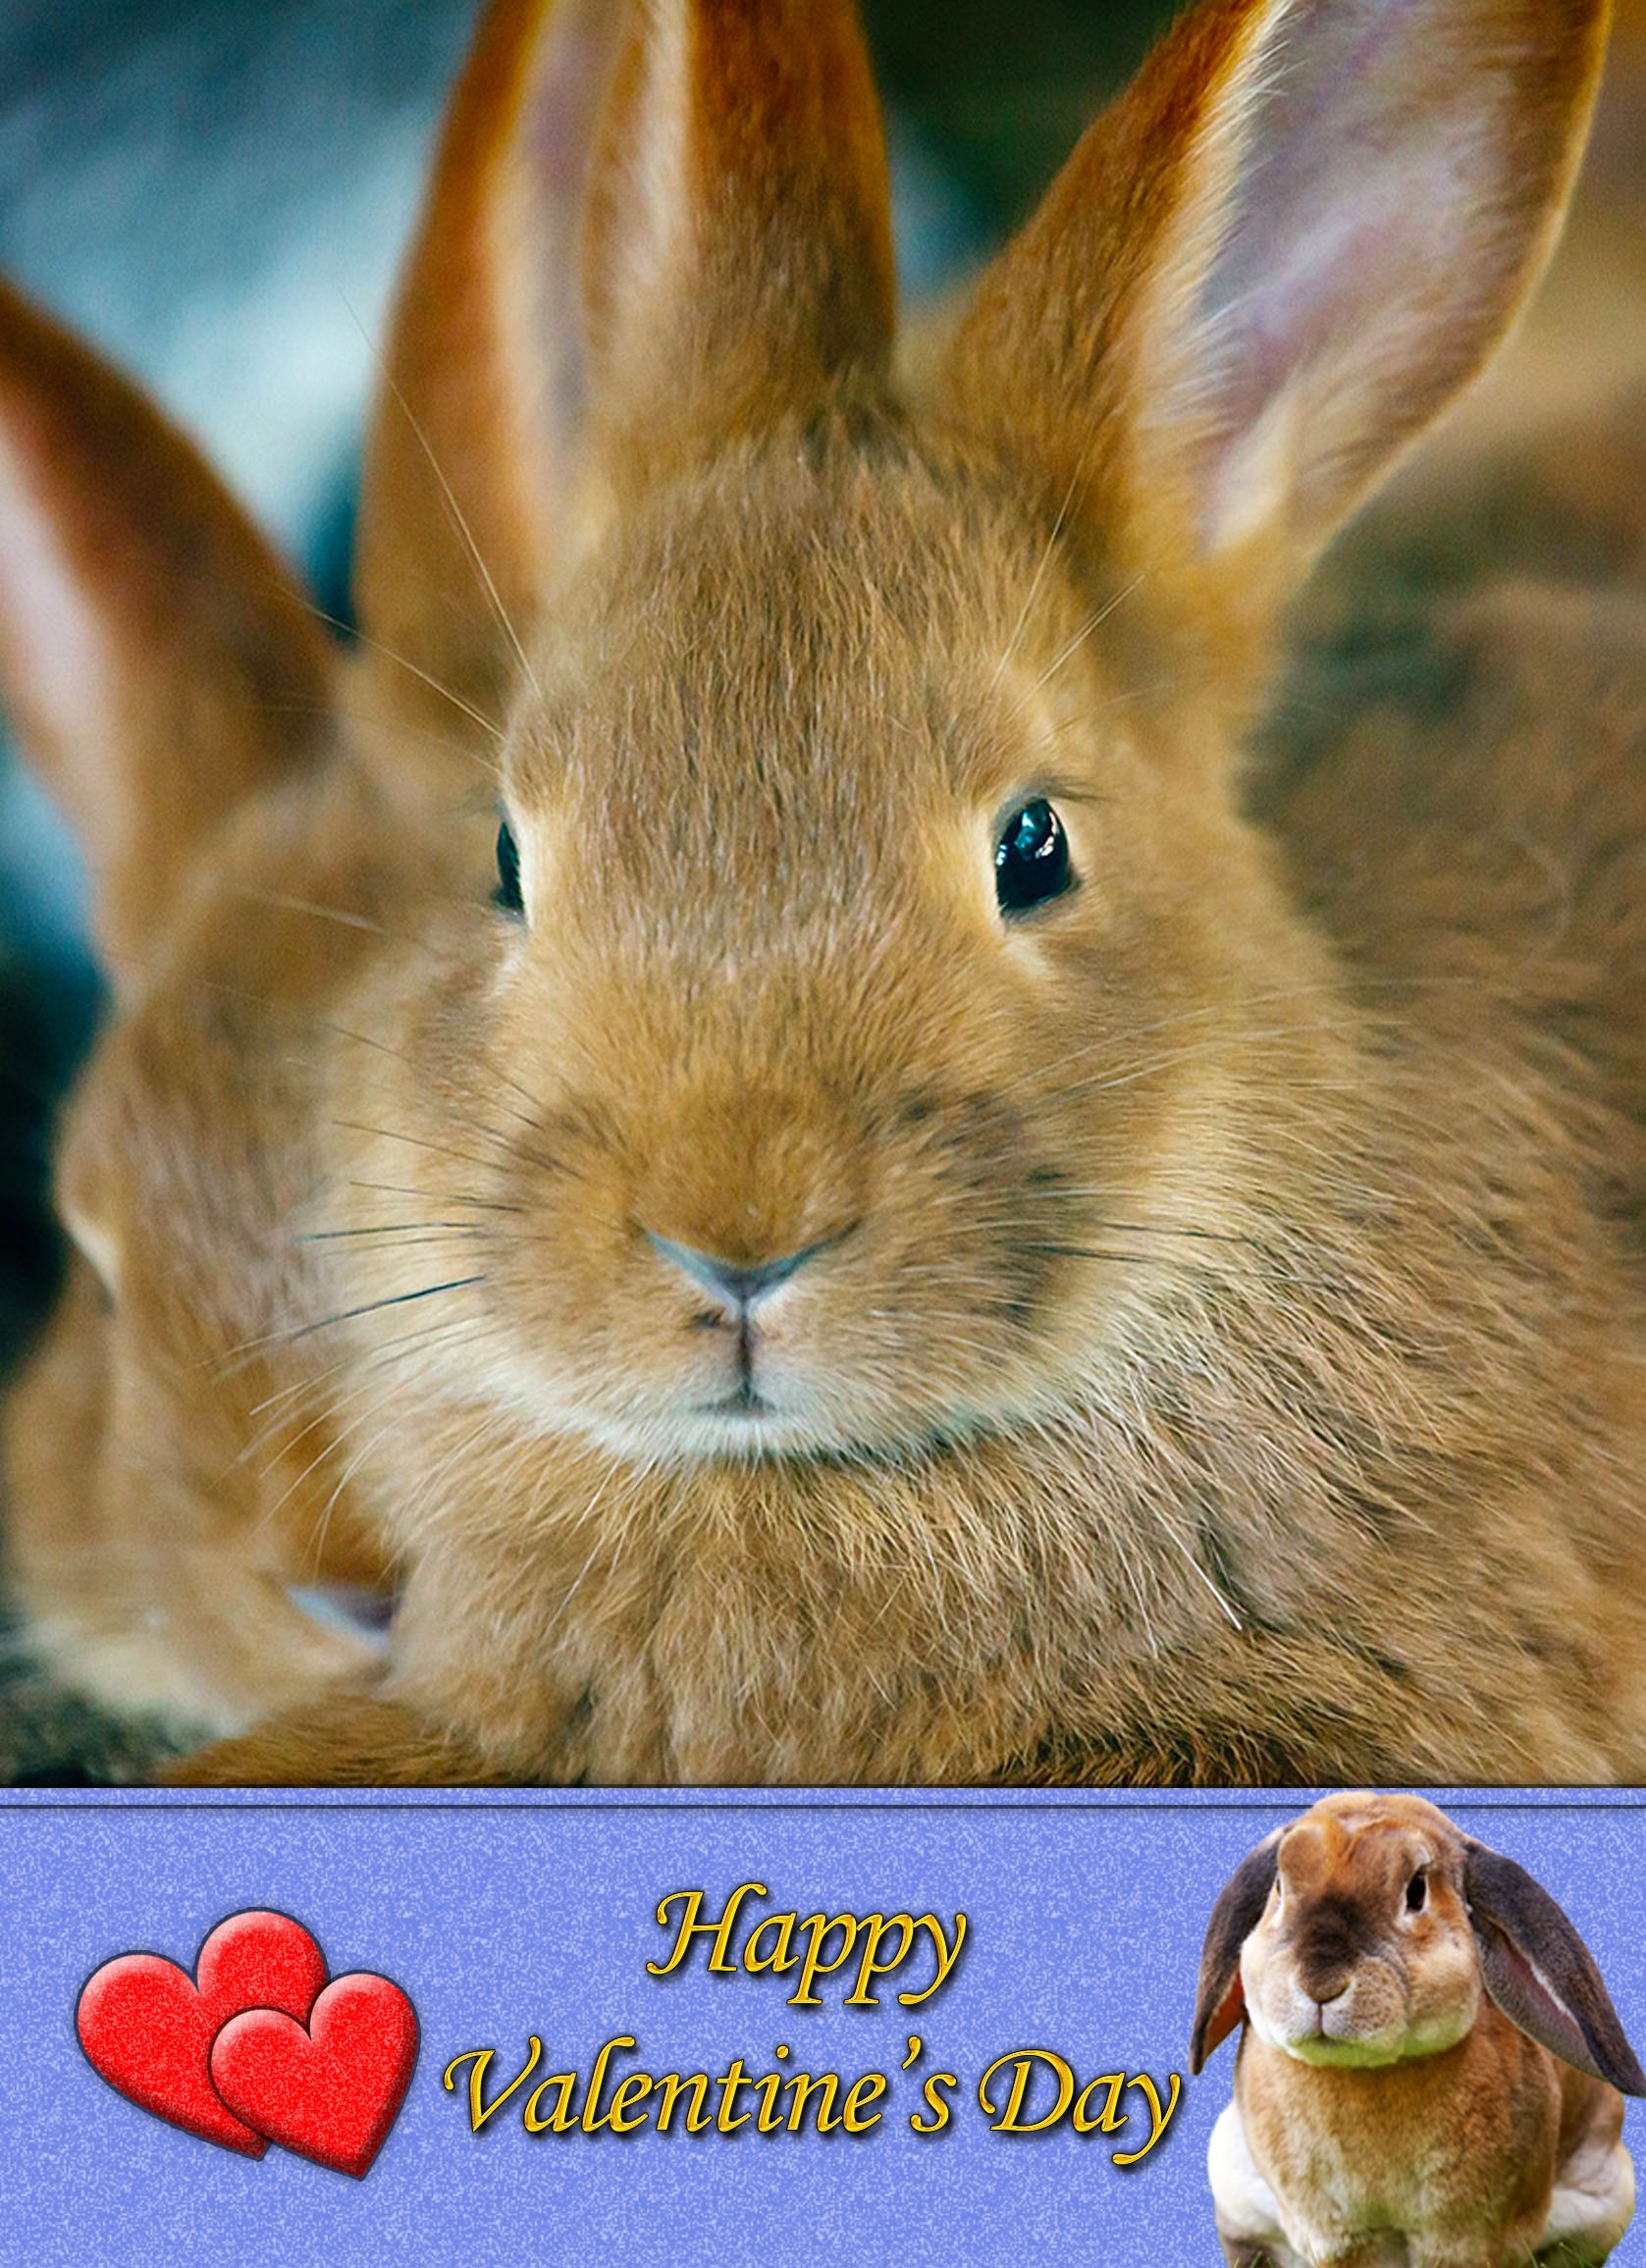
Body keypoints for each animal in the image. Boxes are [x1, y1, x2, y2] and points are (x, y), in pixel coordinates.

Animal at [1190, 1792, 1646, 2268]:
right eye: (1280, 1887)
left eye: (1416, 1892)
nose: (1320, 1983)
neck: (1365, 2074)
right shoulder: (1339, 2238)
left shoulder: (1463, 2236)